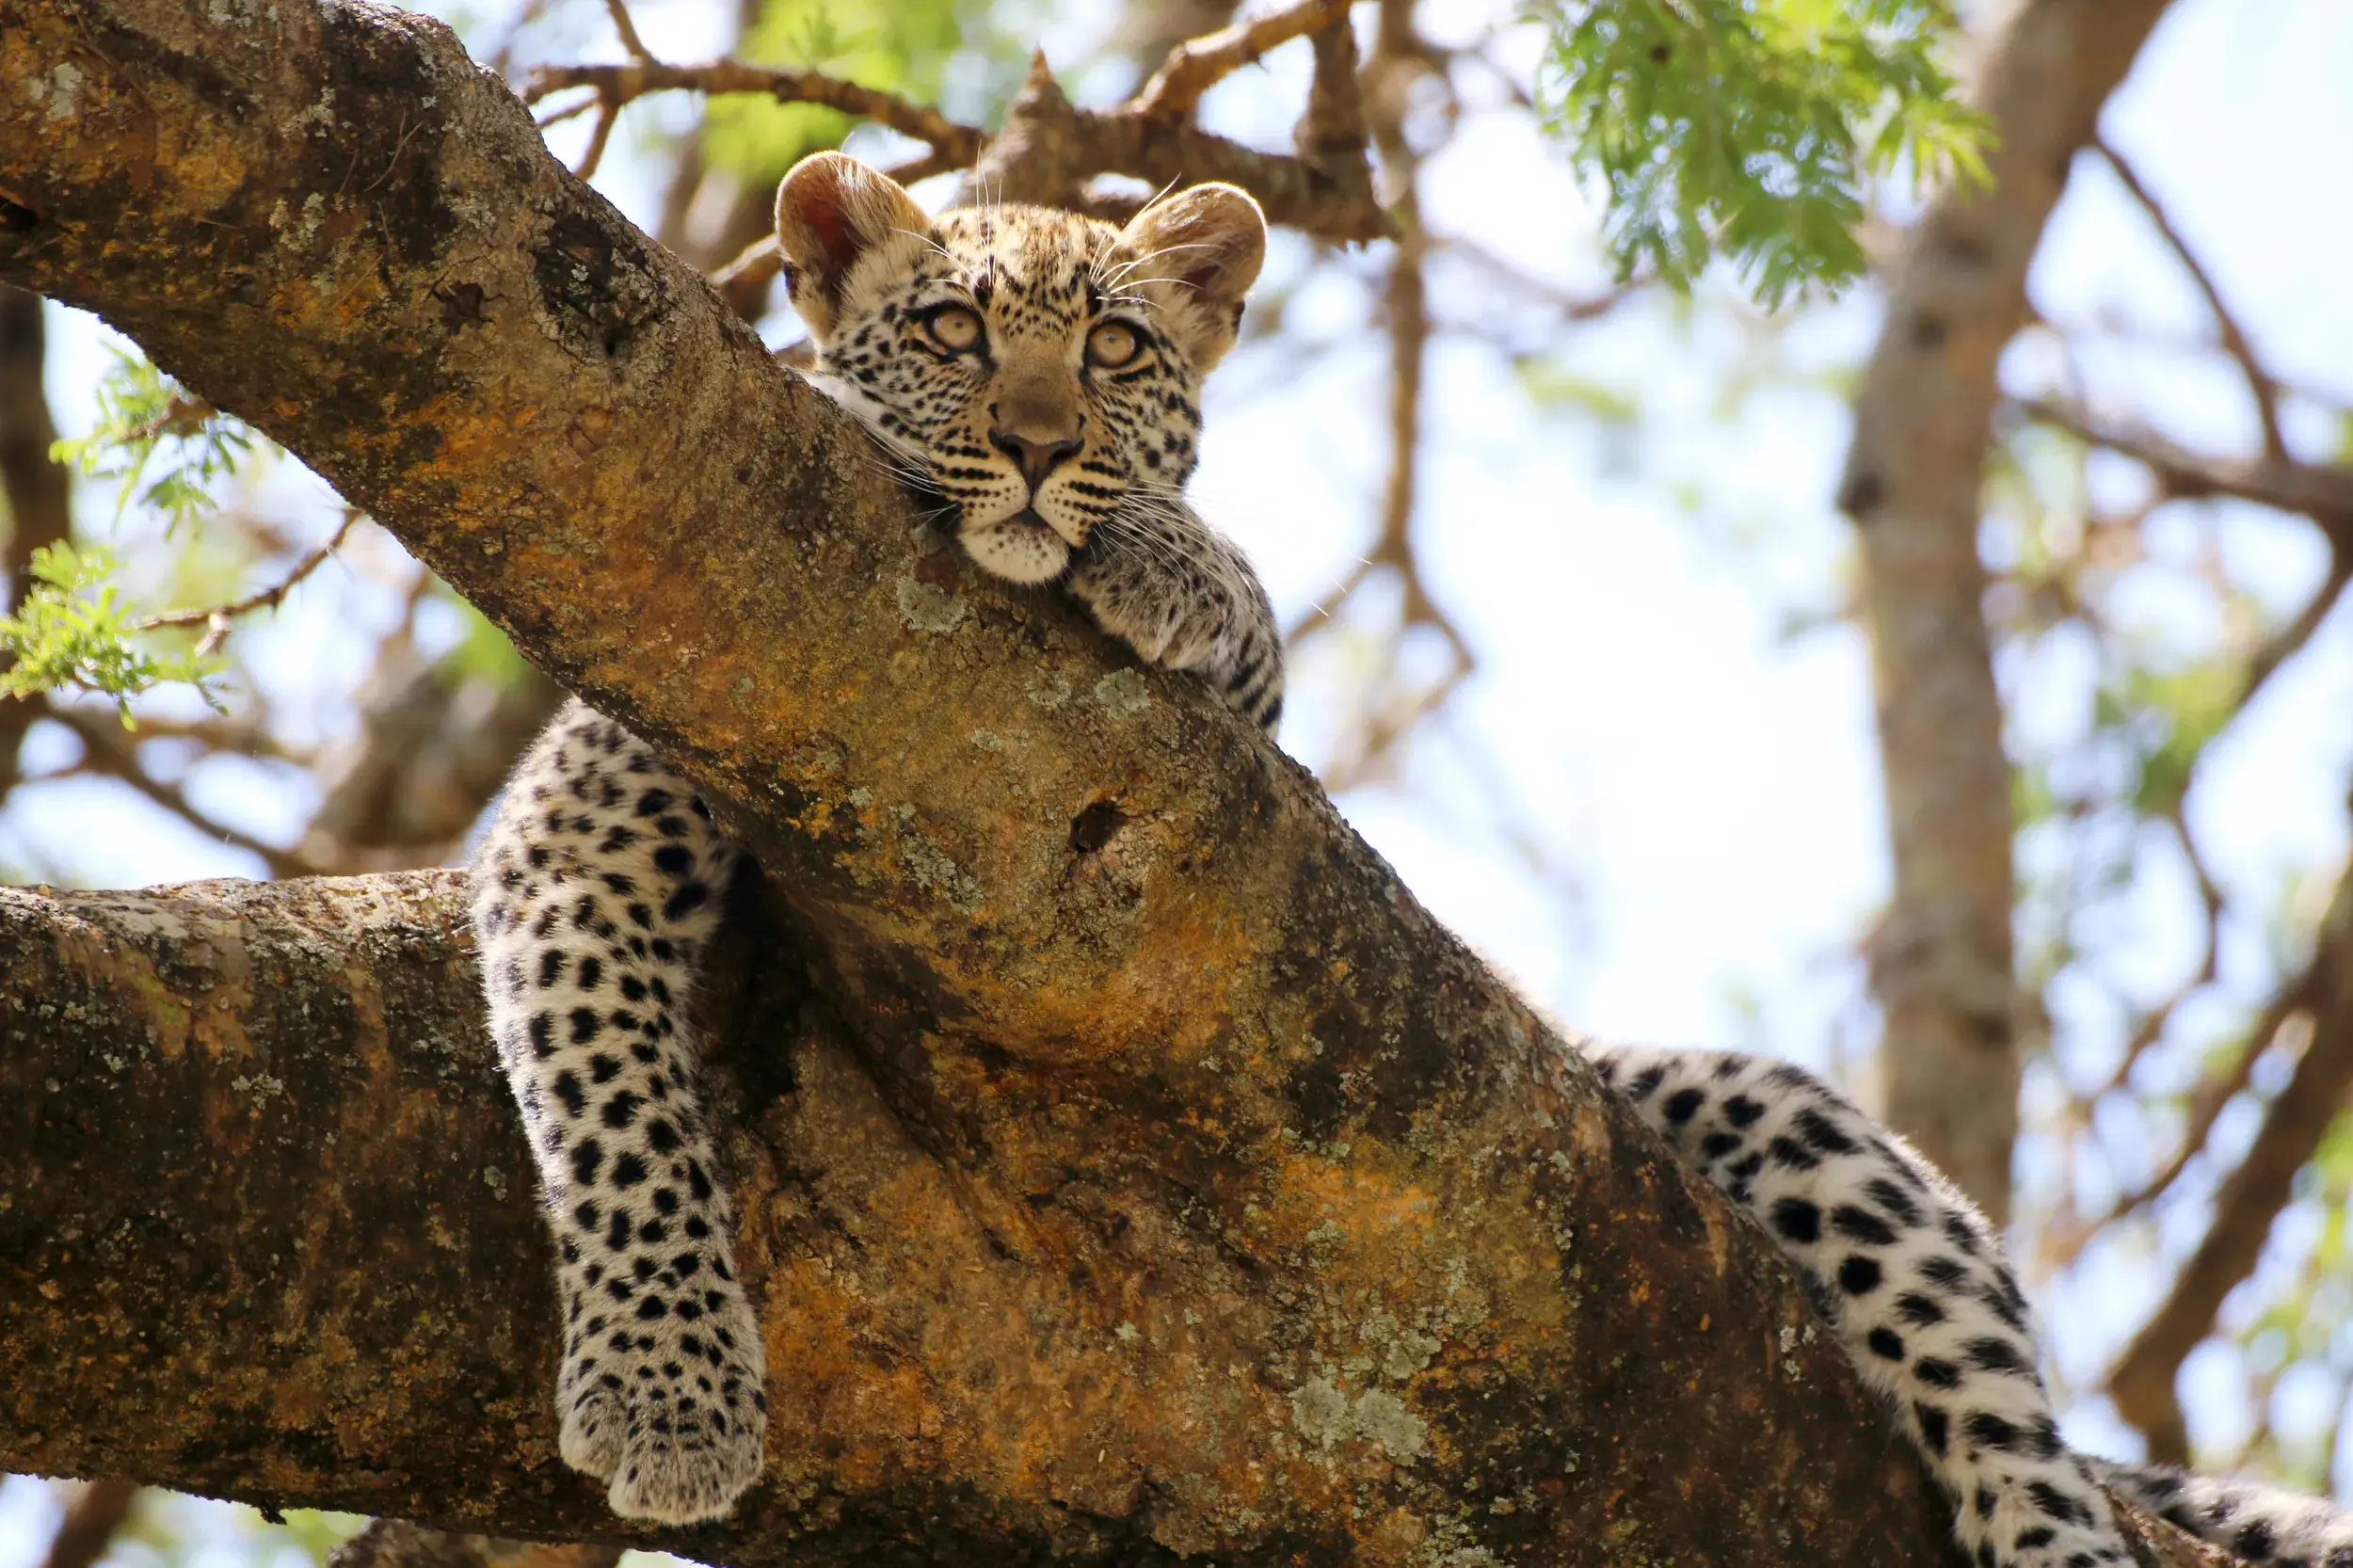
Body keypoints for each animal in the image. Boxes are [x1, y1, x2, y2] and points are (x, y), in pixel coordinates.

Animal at [468, 150, 2353, 1565]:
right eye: (947, 329)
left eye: (1121, 355)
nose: (1037, 445)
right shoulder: (586, 828)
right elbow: (619, 1110)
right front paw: (671, 1395)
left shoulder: (1239, 748)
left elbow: (1245, 629)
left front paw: (1165, 554)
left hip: (1767, 1124)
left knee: (2004, 1401)